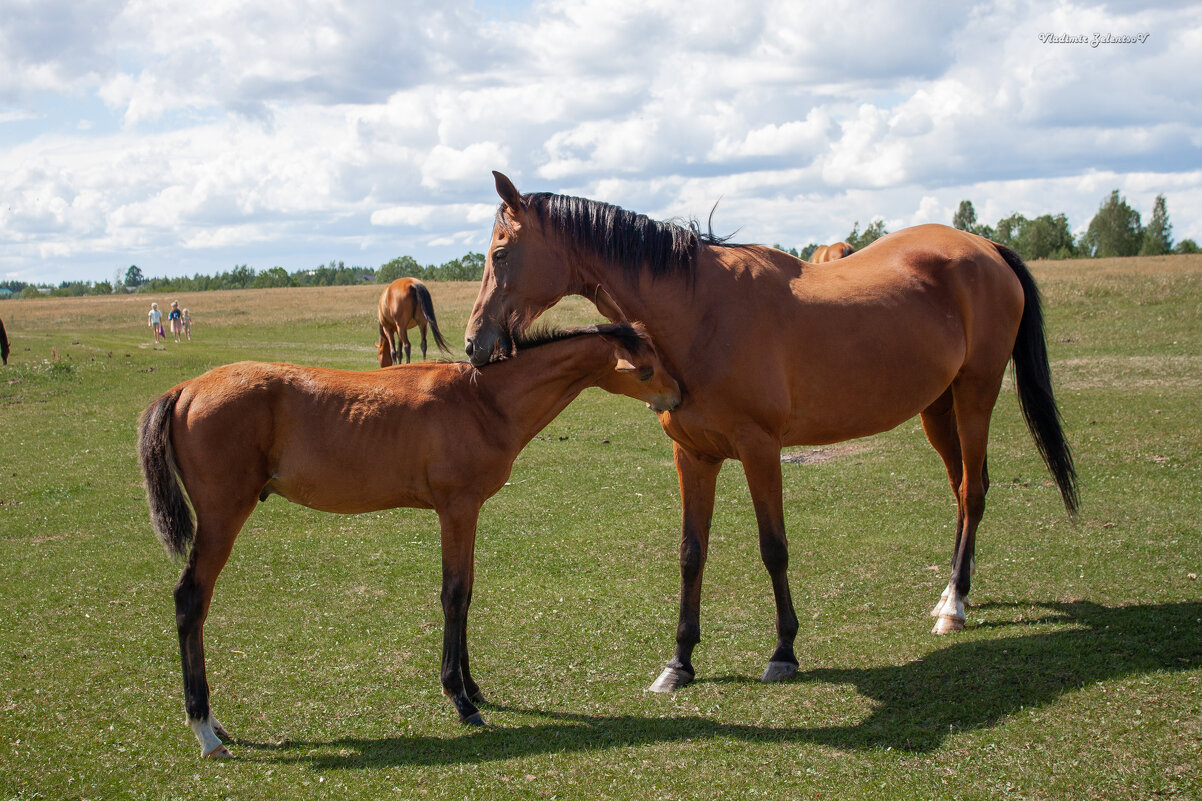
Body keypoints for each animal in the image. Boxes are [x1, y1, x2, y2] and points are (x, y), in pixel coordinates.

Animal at [137, 319, 682, 755]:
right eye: (645, 370)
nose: (679, 397)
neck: (483, 401)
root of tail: (186, 388)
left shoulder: (468, 512)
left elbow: (467, 593)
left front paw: (473, 687)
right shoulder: (456, 510)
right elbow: (454, 595)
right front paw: (460, 699)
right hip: (222, 517)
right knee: (191, 599)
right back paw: (206, 729)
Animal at [461, 173, 1081, 692]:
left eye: (500, 253)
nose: (473, 344)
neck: (700, 313)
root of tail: (986, 248)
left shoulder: (760, 450)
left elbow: (773, 548)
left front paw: (783, 651)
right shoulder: (693, 456)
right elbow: (691, 553)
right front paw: (679, 662)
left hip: (976, 394)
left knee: (973, 491)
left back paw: (955, 606)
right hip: (938, 407)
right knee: (960, 489)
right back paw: (955, 591)